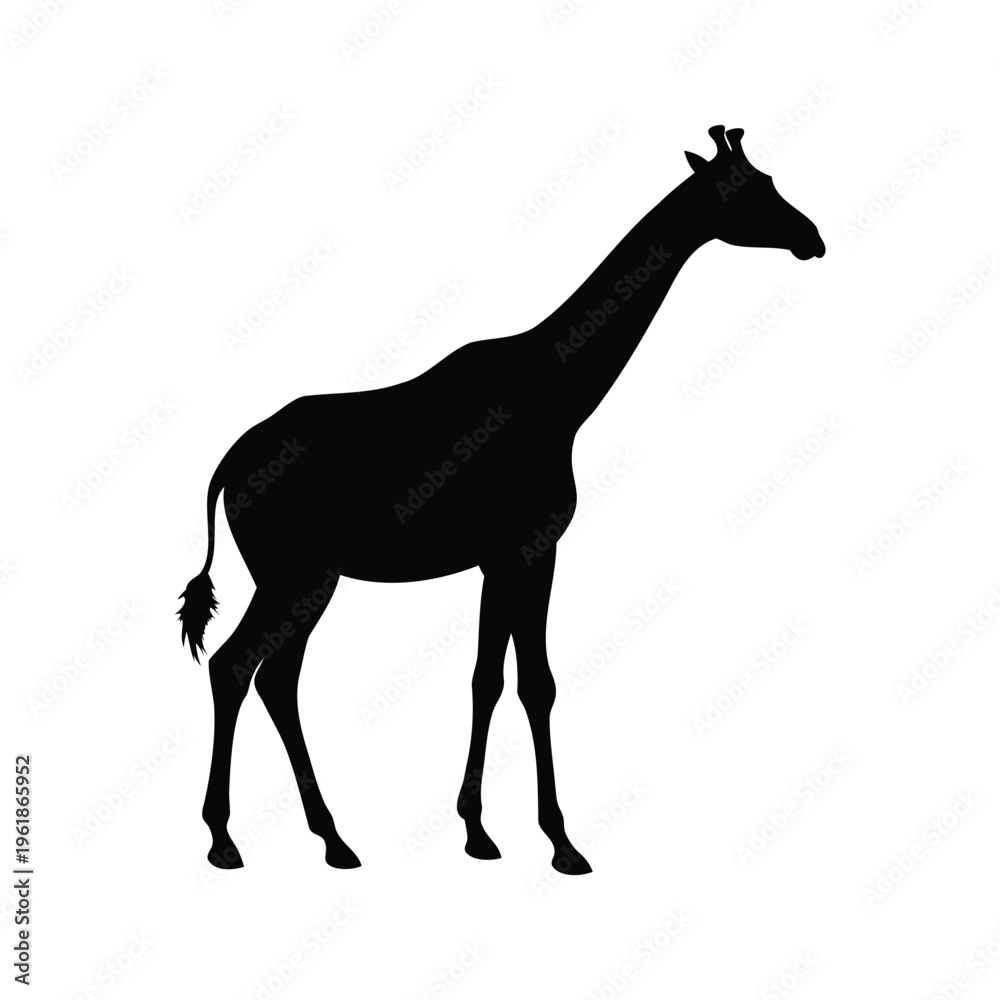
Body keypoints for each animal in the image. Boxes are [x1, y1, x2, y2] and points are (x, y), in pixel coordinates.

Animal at [179, 125, 825, 875]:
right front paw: (562, 842)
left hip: (308, 577)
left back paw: (332, 839)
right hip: (294, 573)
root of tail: (227, 467)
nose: (813, 237)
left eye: (769, 181)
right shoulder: (532, 545)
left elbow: (489, 679)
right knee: (237, 666)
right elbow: (535, 682)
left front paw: (478, 832)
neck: (564, 391)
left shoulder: (498, 558)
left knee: (273, 677)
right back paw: (225, 840)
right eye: (750, 190)